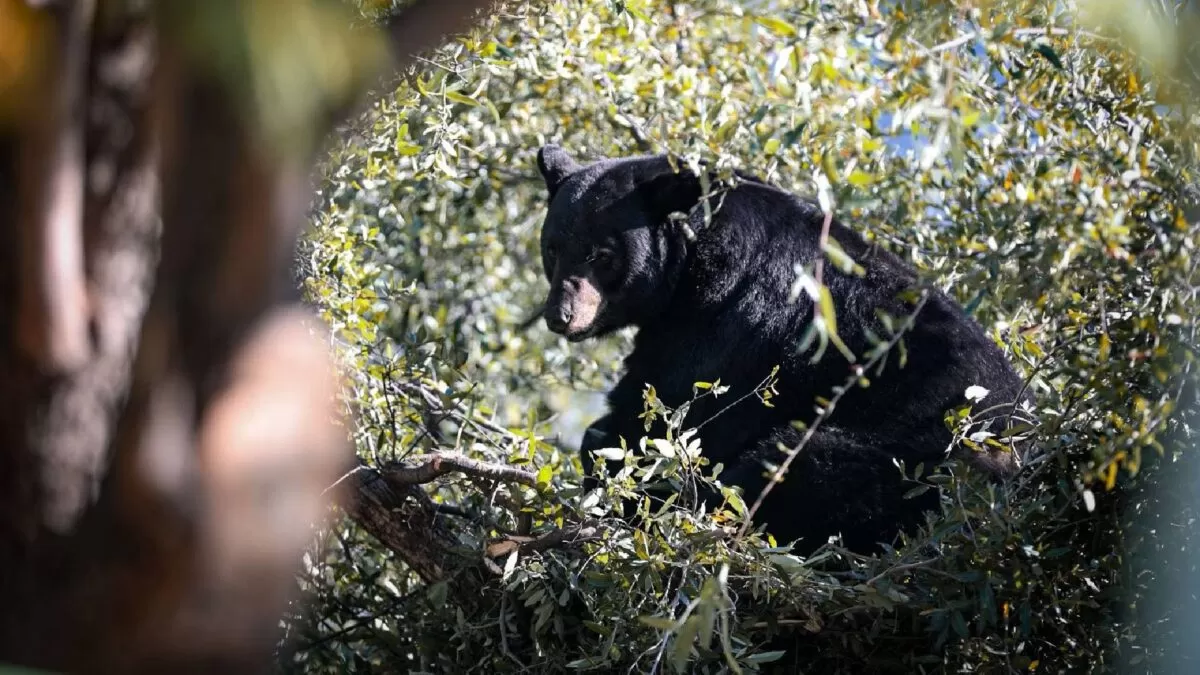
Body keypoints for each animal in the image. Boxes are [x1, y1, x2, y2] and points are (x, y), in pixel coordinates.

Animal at [533, 144, 1034, 555]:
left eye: (602, 255)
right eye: (553, 249)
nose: (560, 315)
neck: (695, 253)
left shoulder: (730, 317)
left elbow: (674, 410)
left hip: (907, 458)